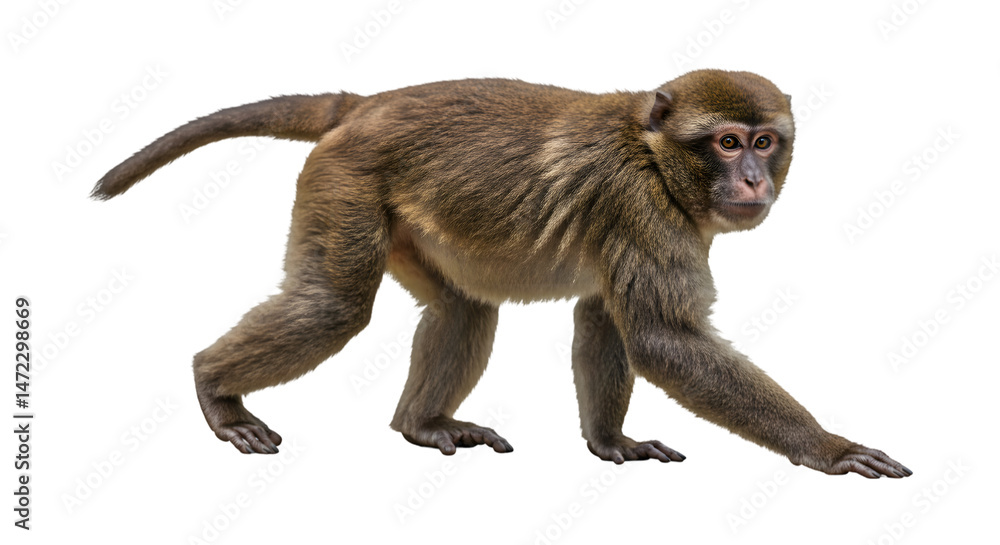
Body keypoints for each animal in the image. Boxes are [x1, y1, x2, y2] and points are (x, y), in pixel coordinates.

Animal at [92, 69, 911, 479]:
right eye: (728, 142)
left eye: (766, 141)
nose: (752, 180)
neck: (652, 153)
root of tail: (365, 106)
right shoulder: (642, 206)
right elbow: (663, 339)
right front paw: (826, 447)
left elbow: (604, 318)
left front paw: (610, 441)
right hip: (345, 179)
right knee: (334, 305)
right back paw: (213, 387)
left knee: (462, 307)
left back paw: (420, 424)